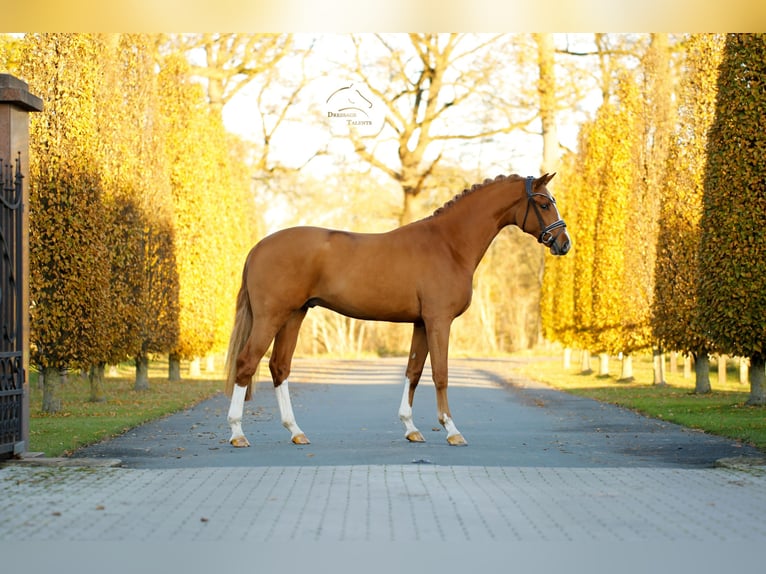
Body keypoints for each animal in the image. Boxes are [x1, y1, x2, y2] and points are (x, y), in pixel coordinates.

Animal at [224, 173, 570, 447]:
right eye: (543, 204)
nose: (563, 243)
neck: (449, 244)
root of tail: (258, 248)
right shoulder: (439, 321)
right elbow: (440, 373)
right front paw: (452, 430)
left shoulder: (421, 323)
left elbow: (413, 371)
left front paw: (411, 428)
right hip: (271, 317)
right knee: (246, 362)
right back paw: (238, 433)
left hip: (294, 315)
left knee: (279, 367)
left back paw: (295, 431)